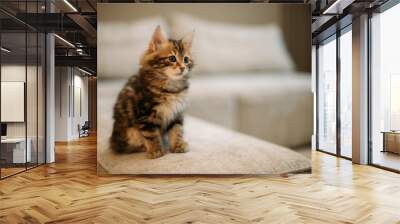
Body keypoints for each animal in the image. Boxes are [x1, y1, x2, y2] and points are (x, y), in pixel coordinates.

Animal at [111, 26, 194, 159]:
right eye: (172, 58)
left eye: (186, 60)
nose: (182, 67)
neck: (171, 87)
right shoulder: (145, 114)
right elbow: (151, 134)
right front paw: (156, 150)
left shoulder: (176, 112)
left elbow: (177, 130)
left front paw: (178, 145)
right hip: (129, 132)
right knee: (126, 148)